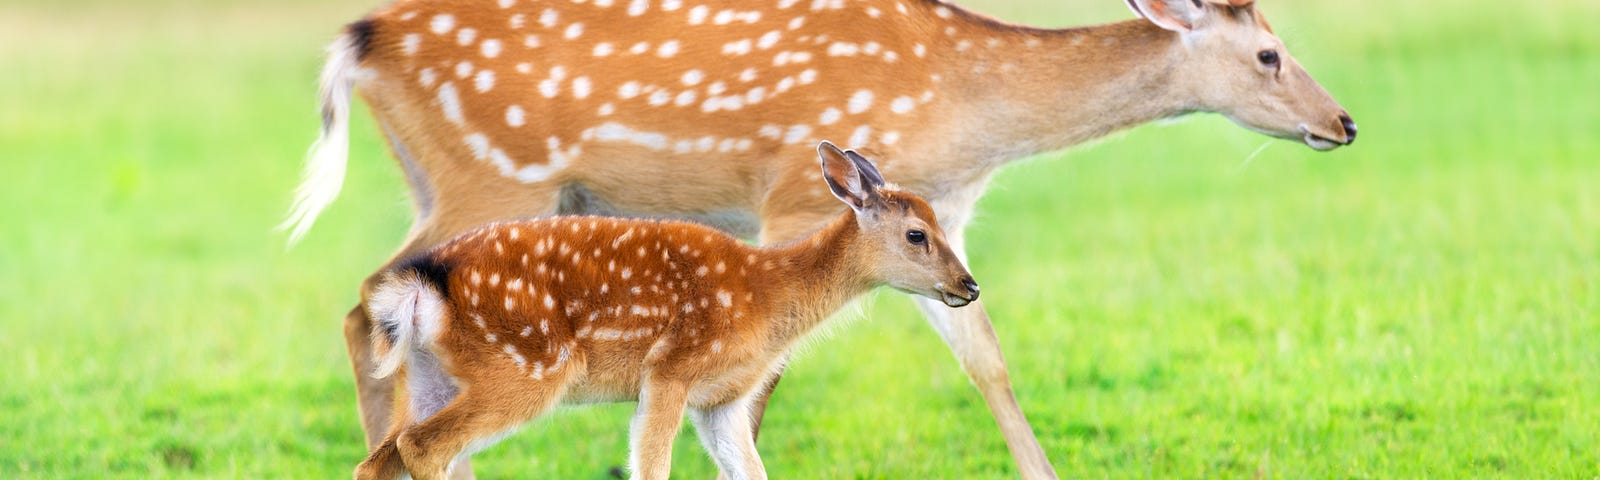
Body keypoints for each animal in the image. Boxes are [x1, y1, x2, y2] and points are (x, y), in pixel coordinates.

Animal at [288, 0, 1350, 476]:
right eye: (1270, 52)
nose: (1342, 123)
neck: (969, 118)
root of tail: (358, 39)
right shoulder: (796, 197)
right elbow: (761, 380)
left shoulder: (950, 223)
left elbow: (988, 362)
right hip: (494, 174)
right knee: (365, 303)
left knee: (377, 310)